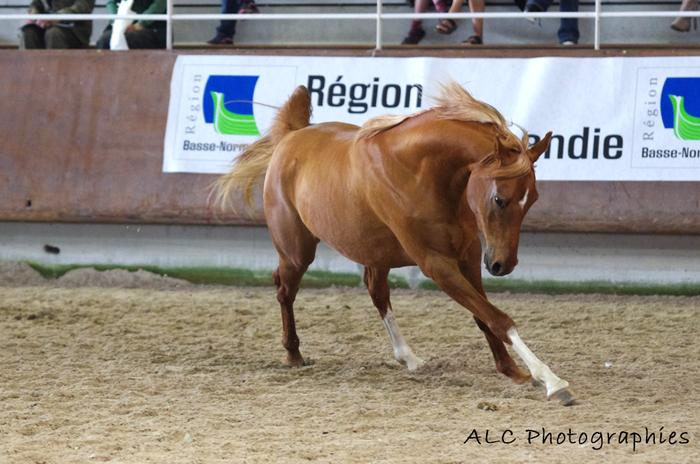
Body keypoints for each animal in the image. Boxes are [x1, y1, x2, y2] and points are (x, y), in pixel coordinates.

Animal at [217, 84, 576, 406]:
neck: (420, 172)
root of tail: (293, 136)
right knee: (285, 289)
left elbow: (483, 314)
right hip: (297, 251)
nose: (504, 265)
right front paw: (551, 381)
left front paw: (511, 370)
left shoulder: (469, 256)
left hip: (374, 253)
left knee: (376, 292)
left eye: (533, 199)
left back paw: (409, 358)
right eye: (500, 199)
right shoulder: (436, 263)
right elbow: (498, 318)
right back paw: (293, 353)